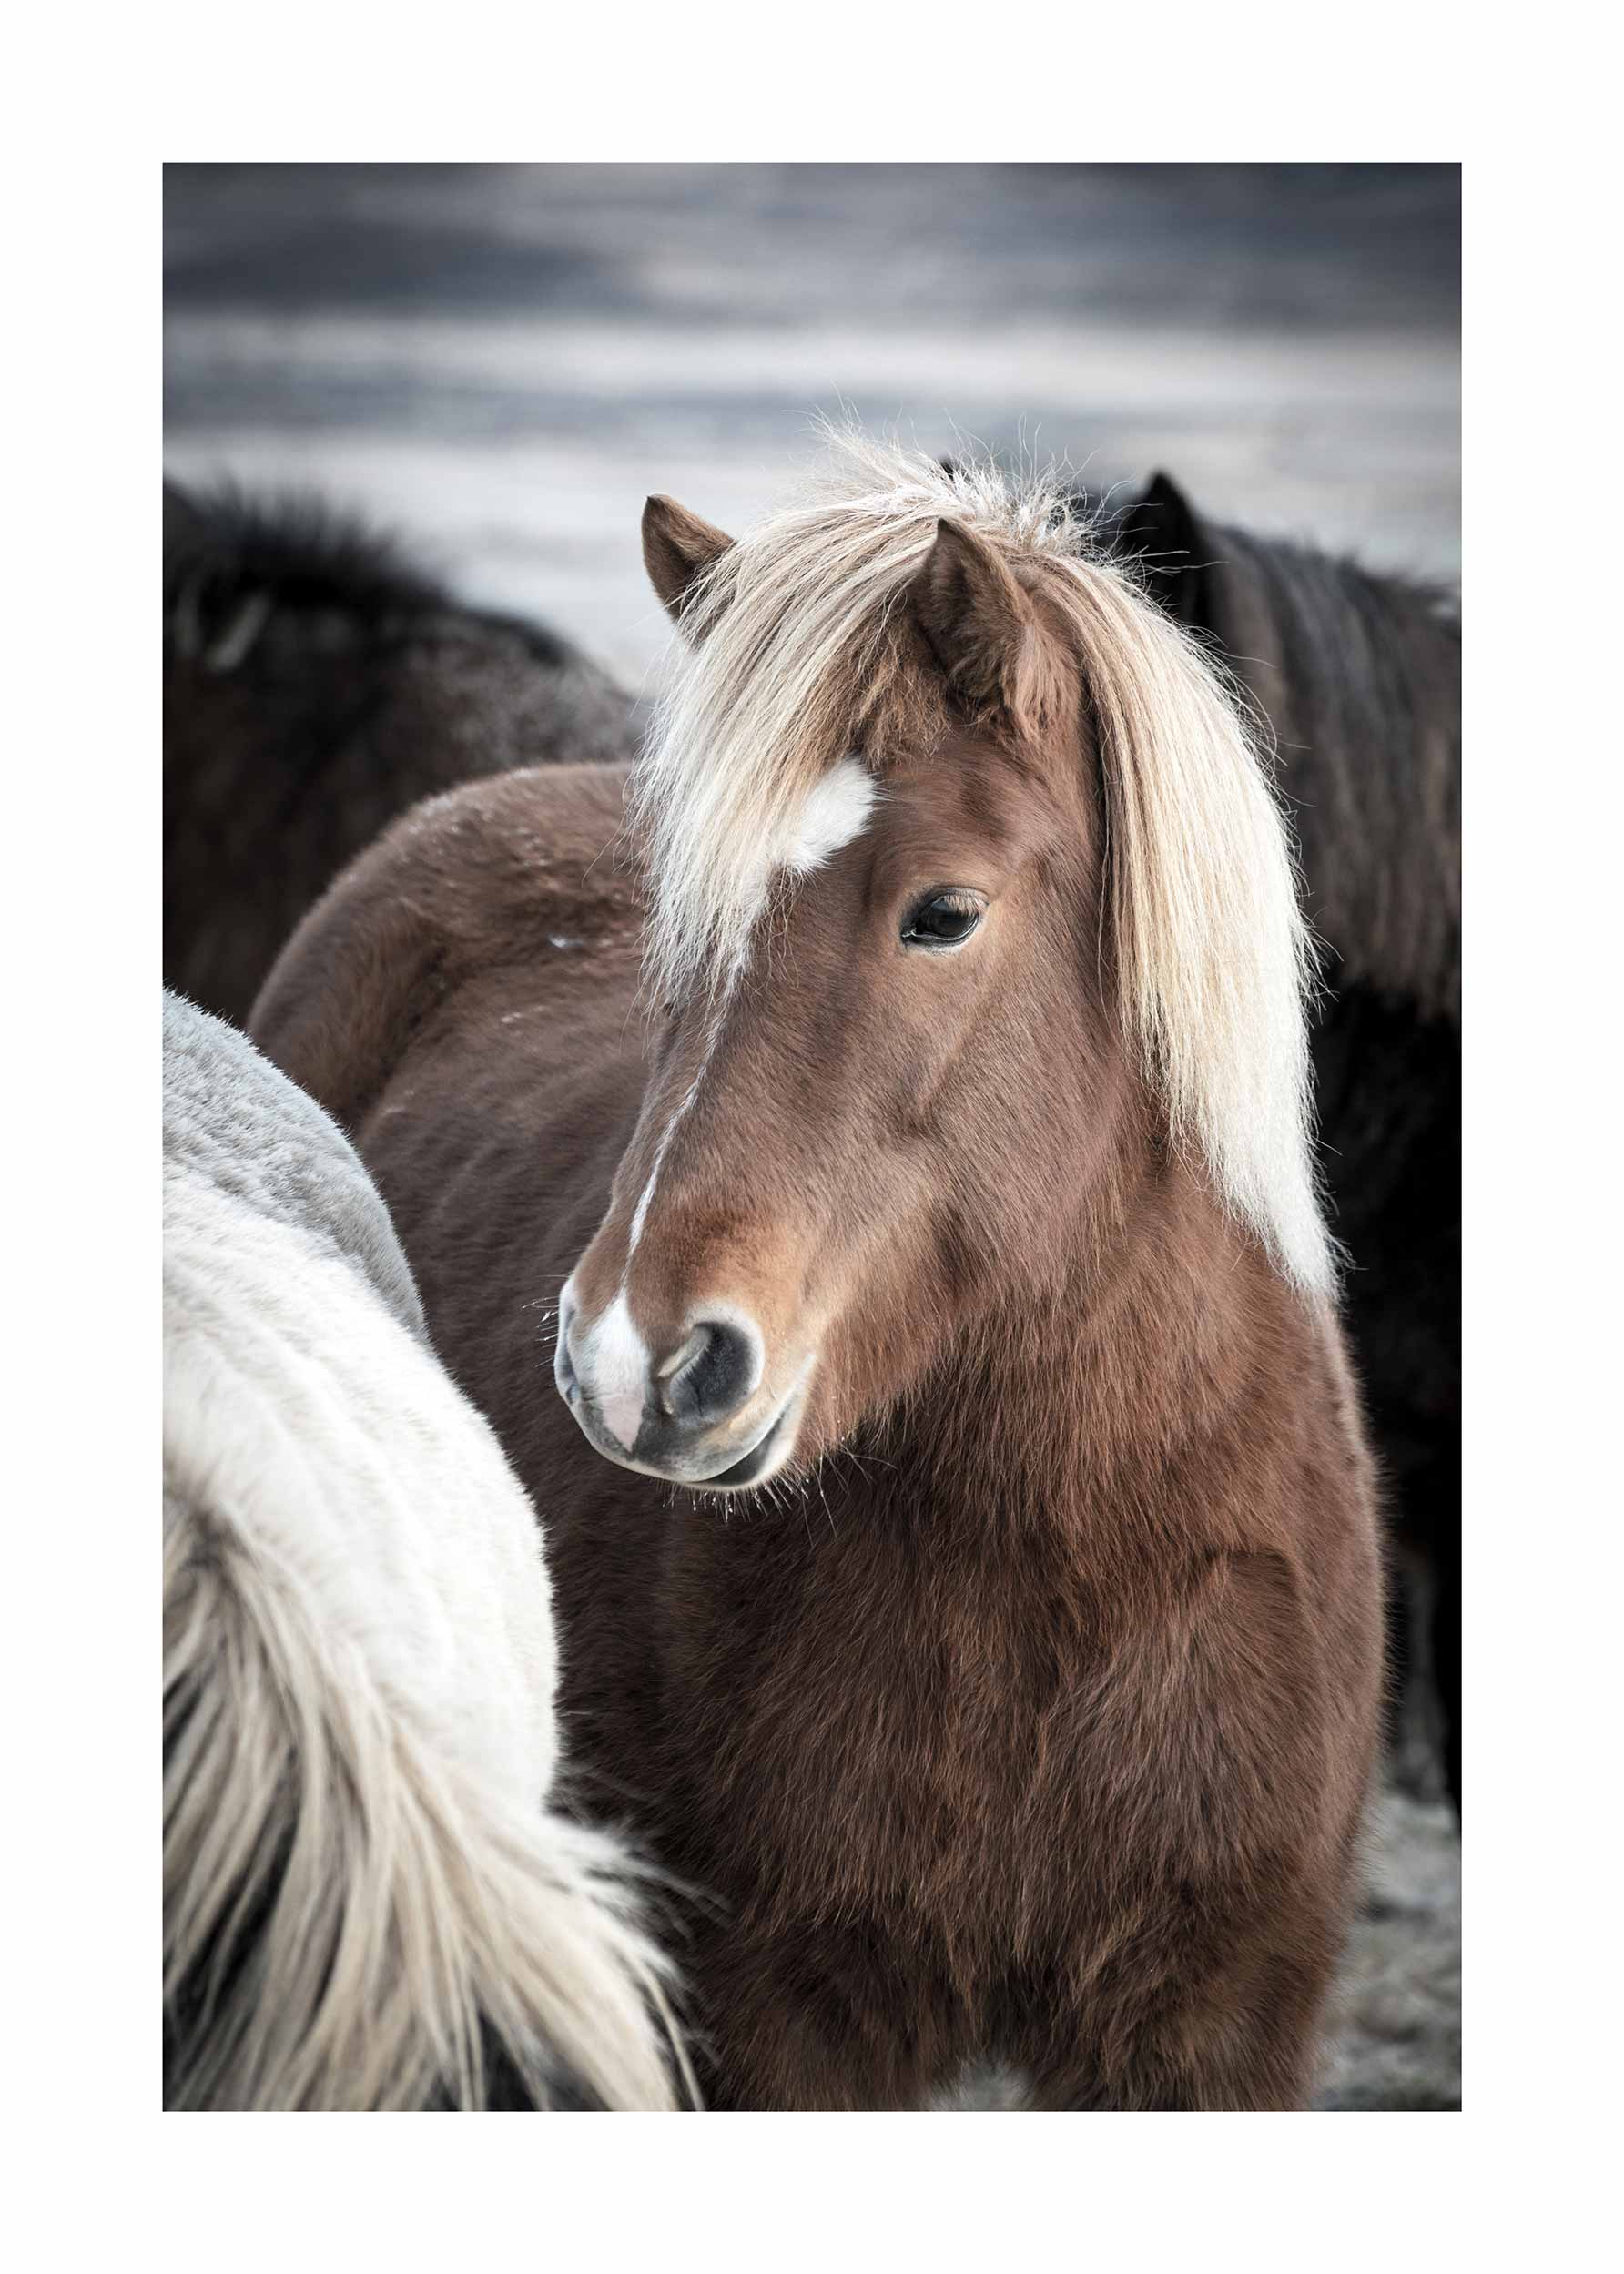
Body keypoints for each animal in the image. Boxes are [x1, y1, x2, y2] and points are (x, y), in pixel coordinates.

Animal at [252, 434, 1385, 2111]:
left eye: (944, 912)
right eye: (675, 926)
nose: (632, 1360)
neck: (1072, 1556)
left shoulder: (1212, 2037)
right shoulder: (768, 2027)